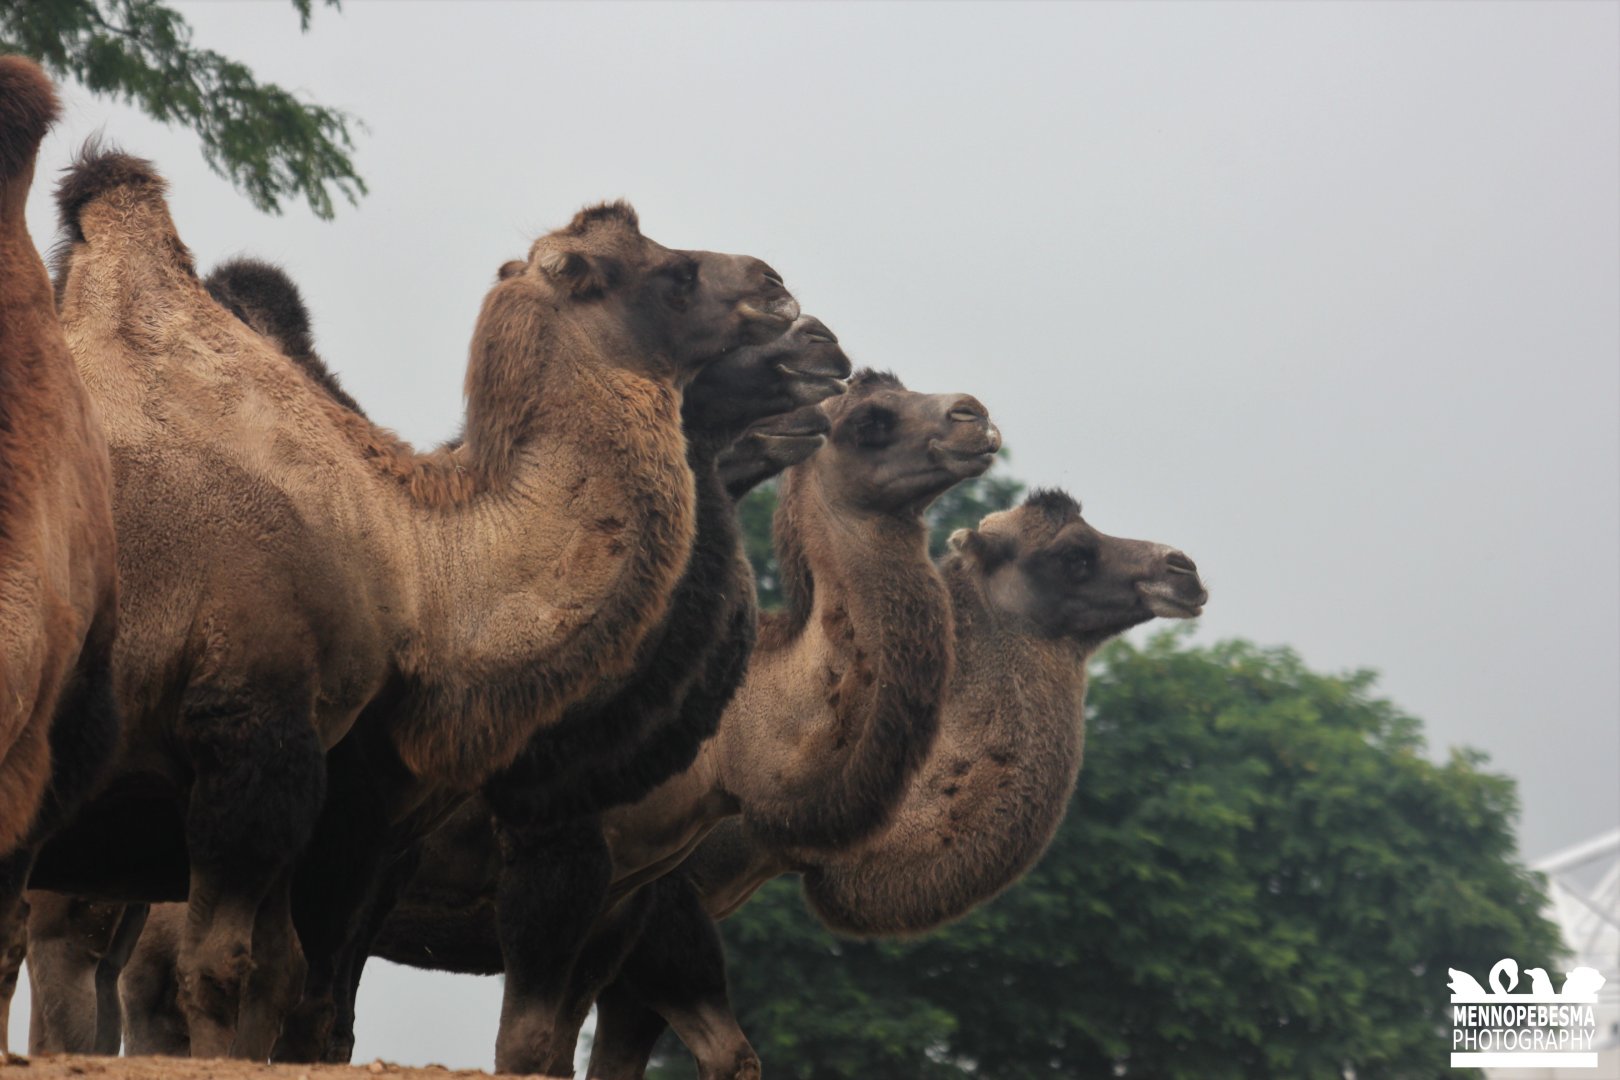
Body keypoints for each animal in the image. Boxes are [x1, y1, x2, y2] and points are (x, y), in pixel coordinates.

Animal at [23, 145, 799, 1059]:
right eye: (673, 277)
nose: (779, 288)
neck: (410, 556)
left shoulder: (335, 801)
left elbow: (289, 984)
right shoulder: (255, 732)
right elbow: (230, 975)